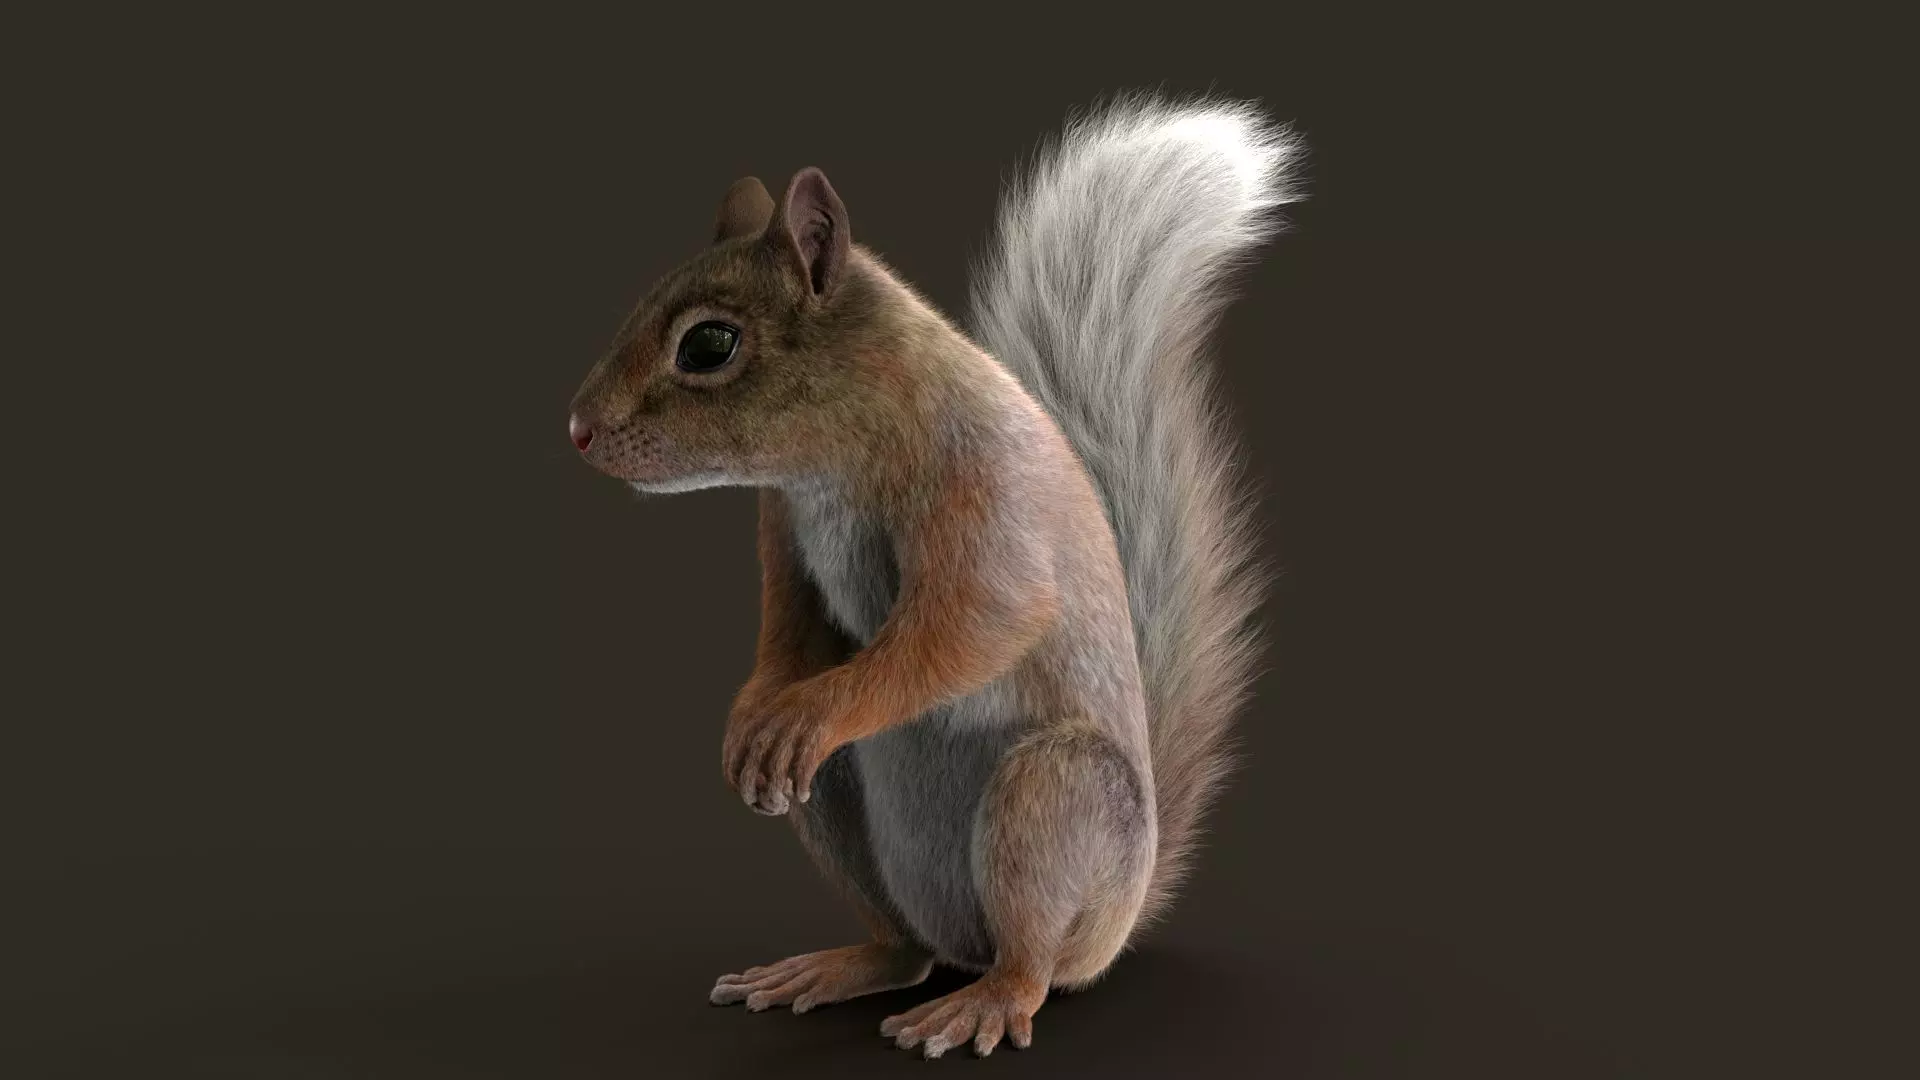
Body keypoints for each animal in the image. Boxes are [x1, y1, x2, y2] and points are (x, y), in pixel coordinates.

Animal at [566, 93, 1302, 1058]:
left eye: (711, 344)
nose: (576, 429)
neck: (835, 456)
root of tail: (1119, 917)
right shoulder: (784, 528)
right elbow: (791, 630)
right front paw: (754, 714)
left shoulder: (981, 486)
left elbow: (974, 622)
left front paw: (812, 708)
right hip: (841, 807)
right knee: (903, 946)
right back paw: (843, 965)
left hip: (1053, 799)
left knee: (1030, 962)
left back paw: (985, 1001)